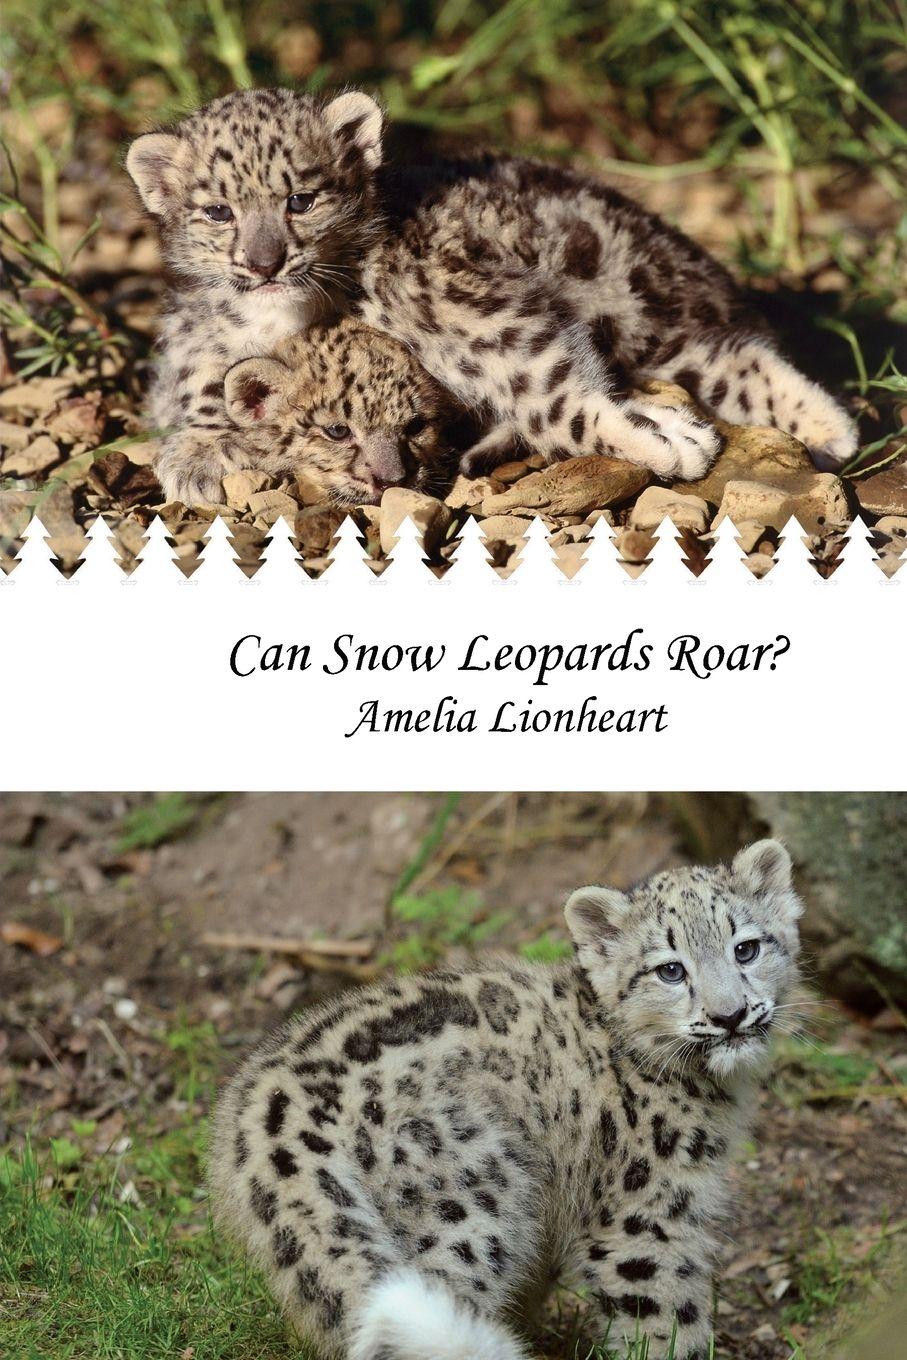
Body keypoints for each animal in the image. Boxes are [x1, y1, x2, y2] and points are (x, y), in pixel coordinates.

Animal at [209, 839, 803, 1360]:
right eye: (670, 969)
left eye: (746, 948)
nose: (730, 1015)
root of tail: (268, 1113)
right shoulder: (647, 1217)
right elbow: (667, 1319)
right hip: (467, 1207)